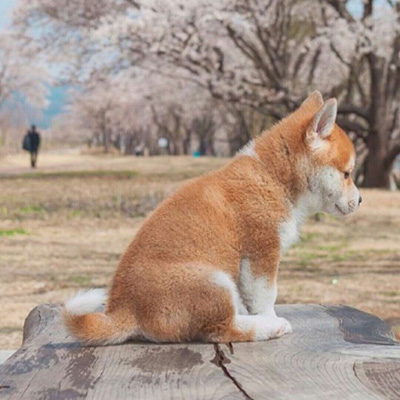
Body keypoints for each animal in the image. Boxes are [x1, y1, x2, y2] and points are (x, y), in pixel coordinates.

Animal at [63, 90, 362, 344]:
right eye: (347, 174)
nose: (360, 200)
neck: (272, 178)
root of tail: (125, 311)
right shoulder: (262, 252)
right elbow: (266, 296)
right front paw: (270, 317)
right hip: (212, 281)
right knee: (221, 329)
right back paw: (269, 327)